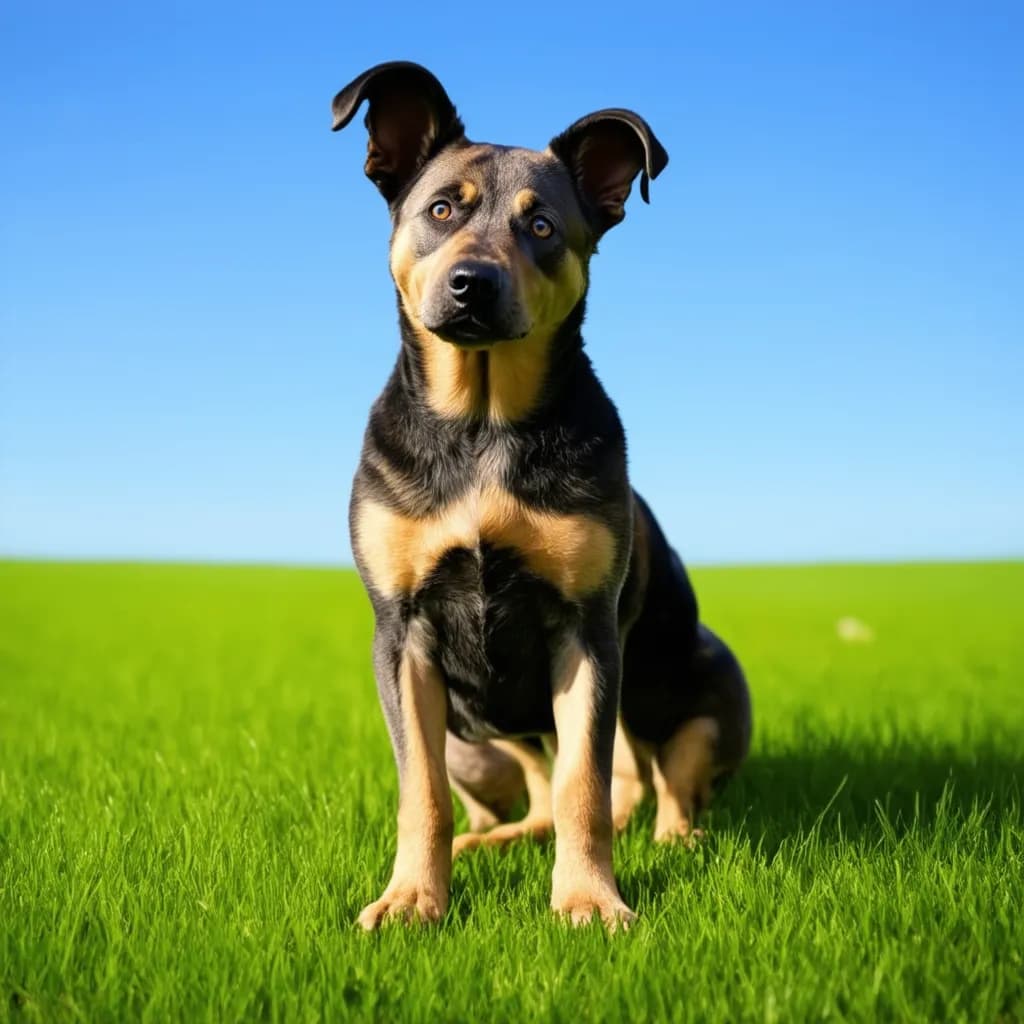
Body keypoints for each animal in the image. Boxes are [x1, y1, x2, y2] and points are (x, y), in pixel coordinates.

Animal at [335, 59, 753, 933]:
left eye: (543, 227)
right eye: (441, 208)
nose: (473, 284)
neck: (483, 423)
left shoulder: (586, 629)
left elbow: (584, 788)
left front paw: (590, 900)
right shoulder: (402, 634)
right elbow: (421, 793)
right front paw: (412, 899)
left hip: (706, 687)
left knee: (660, 777)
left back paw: (677, 837)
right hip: (476, 742)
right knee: (529, 794)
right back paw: (486, 843)